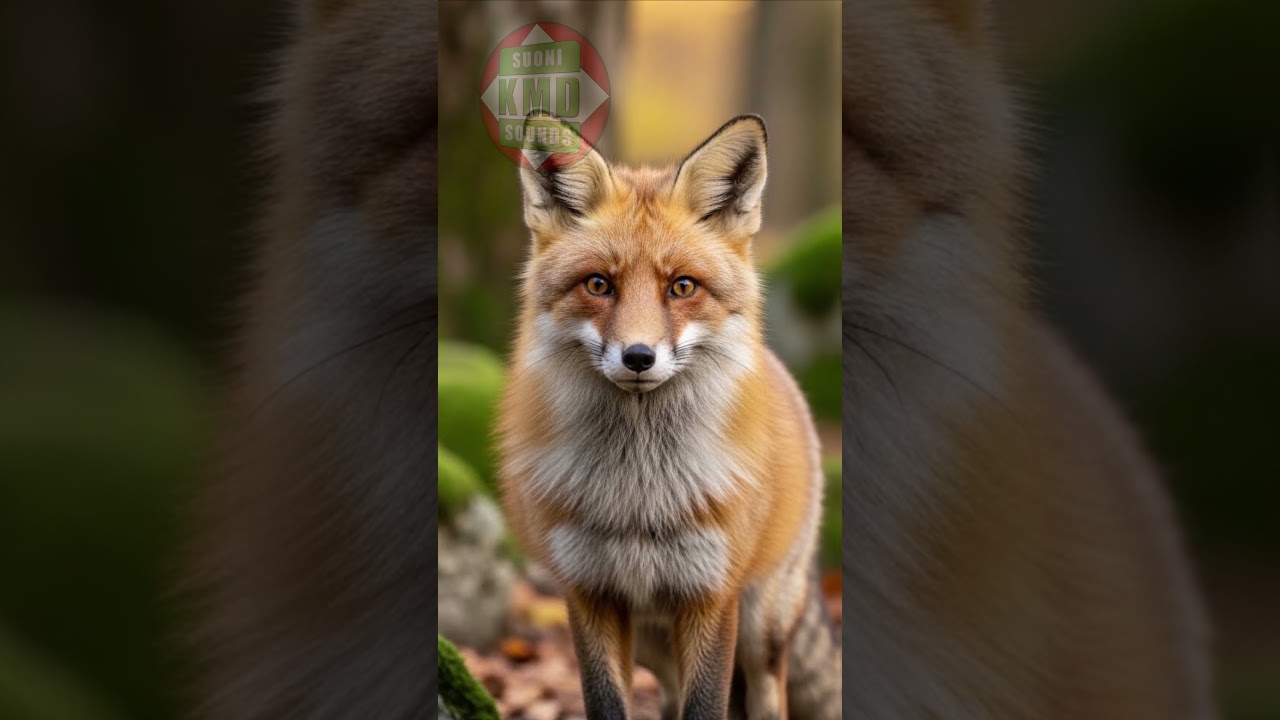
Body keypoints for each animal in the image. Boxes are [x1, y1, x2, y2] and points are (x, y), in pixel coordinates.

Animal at [498, 115, 841, 720]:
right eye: (598, 284)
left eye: (682, 286)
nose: (638, 357)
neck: (639, 497)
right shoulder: (589, 593)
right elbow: (608, 703)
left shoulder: (711, 595)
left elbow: (706, 708)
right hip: (657, 645)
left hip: (761, 628)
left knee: (765, 695)